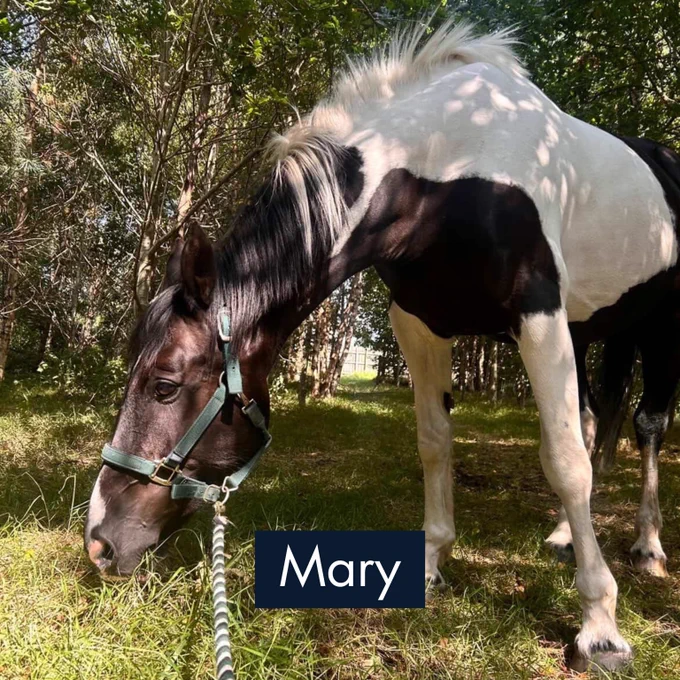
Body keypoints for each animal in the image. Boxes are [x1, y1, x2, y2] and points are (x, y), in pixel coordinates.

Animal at [83, 21, 680, 671]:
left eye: (165, 384)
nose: (100, 542)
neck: (448, 168)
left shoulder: (538, 315)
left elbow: (566, 462)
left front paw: (600, 625)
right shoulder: (419, 324)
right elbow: (436, 444)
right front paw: (431, 562)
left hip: (659, 331)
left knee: (646, 424)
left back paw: (647, 546)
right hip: (598, 329)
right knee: (599, 417)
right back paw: (567, 538)